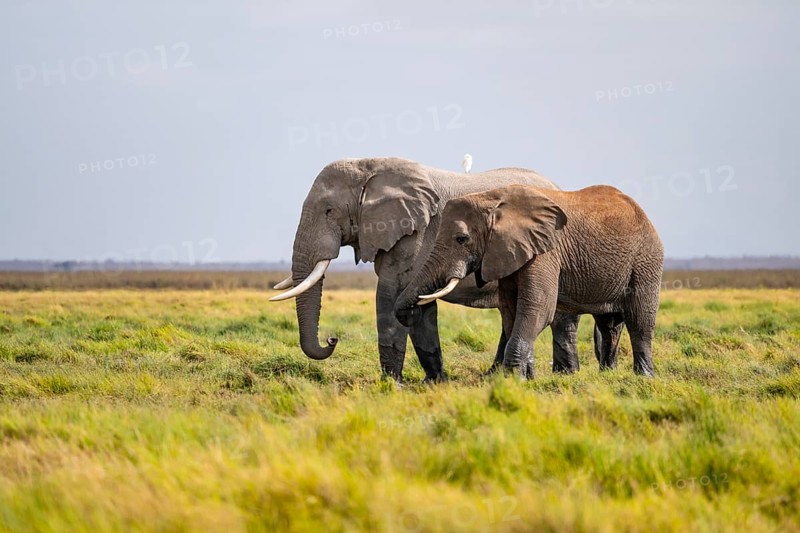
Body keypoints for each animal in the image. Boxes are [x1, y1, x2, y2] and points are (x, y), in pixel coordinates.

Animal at [269, 158, 624, 382]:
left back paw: (560, 376)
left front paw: (391, 385)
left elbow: (390, 295)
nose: (332, 339)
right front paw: (434, 382)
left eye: (329, 211)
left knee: (558, 315)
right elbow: (418, 305)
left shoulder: (416, 233)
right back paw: (500, 376)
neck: (370, 165)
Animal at [394, 184, 664, 378]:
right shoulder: (506, 253)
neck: (493, 199)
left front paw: (513, 379)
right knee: (610, 324)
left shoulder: (546, 252)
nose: (409, 313)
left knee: (640, 320)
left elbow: (538, 308)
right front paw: (527, 378)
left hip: (646, 261)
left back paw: (644, 378)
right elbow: (510, 311)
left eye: (461, 239)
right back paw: (608, 376)